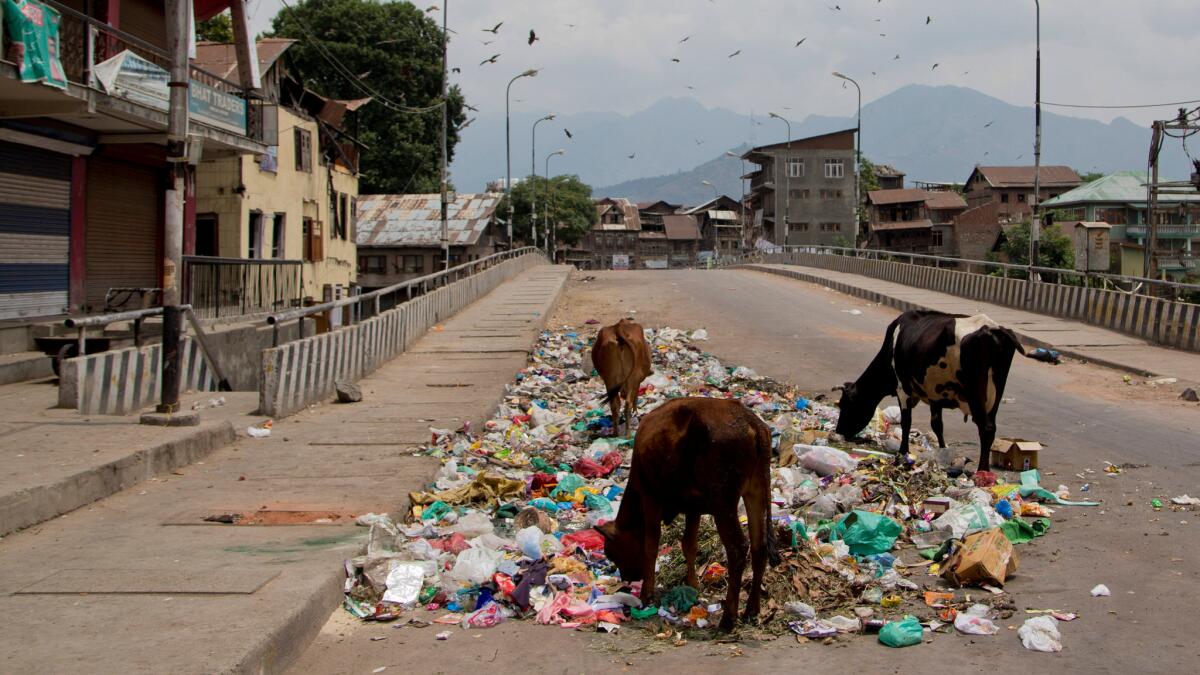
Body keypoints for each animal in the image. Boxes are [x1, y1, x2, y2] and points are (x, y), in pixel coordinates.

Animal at [595, 396, 772, 629]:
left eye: (611, 553)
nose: (628, 579)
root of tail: (752, 422)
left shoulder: (650, 496)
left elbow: (651, 544)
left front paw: (646, 594)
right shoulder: (693, 507)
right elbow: (689, 545)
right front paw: (693, 585)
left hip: (723, 501)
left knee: (738, 548)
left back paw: (728, 618)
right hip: (755, 490)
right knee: (759, 546)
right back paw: (752, 609)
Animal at [835, 309, 1022, 470]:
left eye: (845, 405)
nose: (838, 431)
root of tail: (992, 329)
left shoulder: (902, 388)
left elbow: (906, 421)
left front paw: (903, 452)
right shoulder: (935, 395)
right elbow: (937, 425)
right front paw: (943, 452)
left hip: (976, 391)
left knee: (985, 428)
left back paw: (982, 470)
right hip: (997, 392)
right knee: (991, 428)